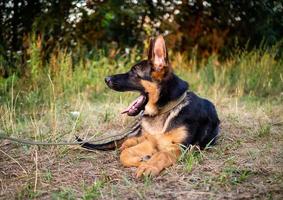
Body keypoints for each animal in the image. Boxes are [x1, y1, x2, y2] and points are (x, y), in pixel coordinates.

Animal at [81, 35, 221, 177]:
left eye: (134, 72)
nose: (106, 79)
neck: (165, 110)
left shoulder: (179, 147)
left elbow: (161, 155)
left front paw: (149, 166)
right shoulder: (150, 143)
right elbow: (125, 154)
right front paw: (141, 161)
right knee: (131, 140)